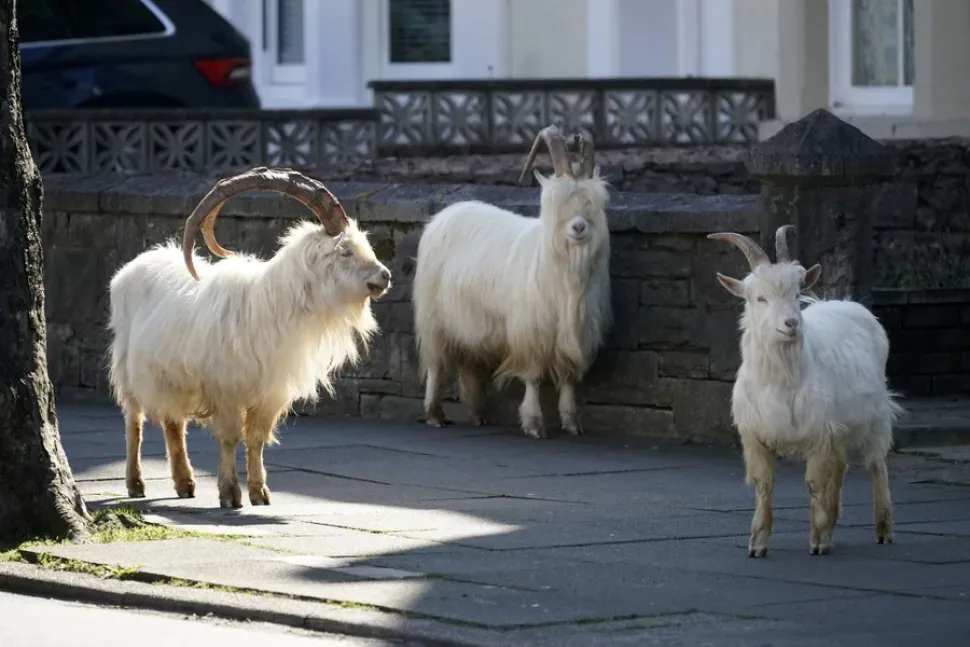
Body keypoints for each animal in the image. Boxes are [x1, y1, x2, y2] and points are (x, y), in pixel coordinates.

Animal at [107, 167, 392, 508]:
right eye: (345, 251)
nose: (385, 276)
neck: (271, 306)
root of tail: (133, 266)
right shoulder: (226, 389)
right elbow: (231, 437)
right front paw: (230, 494)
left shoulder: (270, 392)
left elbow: (255, 438)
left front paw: (259, 492)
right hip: (129, 367)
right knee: (133, 421)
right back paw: (135, 483)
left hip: (173, 378)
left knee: (173, 422)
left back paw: (185, 483)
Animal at [412, 125, 612, 439]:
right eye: (557, 202)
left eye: (595, 203)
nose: (579, 227)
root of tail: (444, 214)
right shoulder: (529, 331)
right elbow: (533, 377)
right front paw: (534, 423)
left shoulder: (573, 334)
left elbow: (567, 377)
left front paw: (571, 422)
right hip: (434, 318)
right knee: (435, 365)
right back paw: (435, 414)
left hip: (471, 323)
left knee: (469, 365)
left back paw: (478, 413)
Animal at [709, 225, 902, 557]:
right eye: (759, 298)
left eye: (797, 293)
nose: (791, 323)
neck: (781, 379)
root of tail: (847, 303)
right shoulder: (756, 434)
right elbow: (764, 484)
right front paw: (758, 542)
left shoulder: (819, 432)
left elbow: (814, 484)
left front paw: (817, 539)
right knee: (840, 468)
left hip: (875, 415)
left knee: (876, 465)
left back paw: (882, 529)